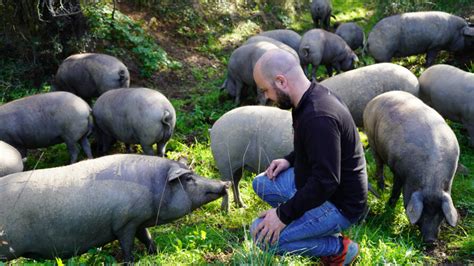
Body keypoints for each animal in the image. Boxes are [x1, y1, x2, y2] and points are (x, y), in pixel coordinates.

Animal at [0, 154, 230, 262]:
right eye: (189, 178)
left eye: (192, 172)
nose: (224, 183)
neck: (152, 187)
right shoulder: (124, 222)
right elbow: (127, 244)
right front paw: (131, 261)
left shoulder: (138, 220)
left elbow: (147, 237)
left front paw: (154, 253)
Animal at [362, 91, 460, 243]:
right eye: (423, 212)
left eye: (440, 214)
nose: (430, 240)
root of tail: (379, 96)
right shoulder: (398, 170)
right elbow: (396, 190)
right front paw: (389, 206)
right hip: (372, 140)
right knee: (379, 165)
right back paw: (382, 189)